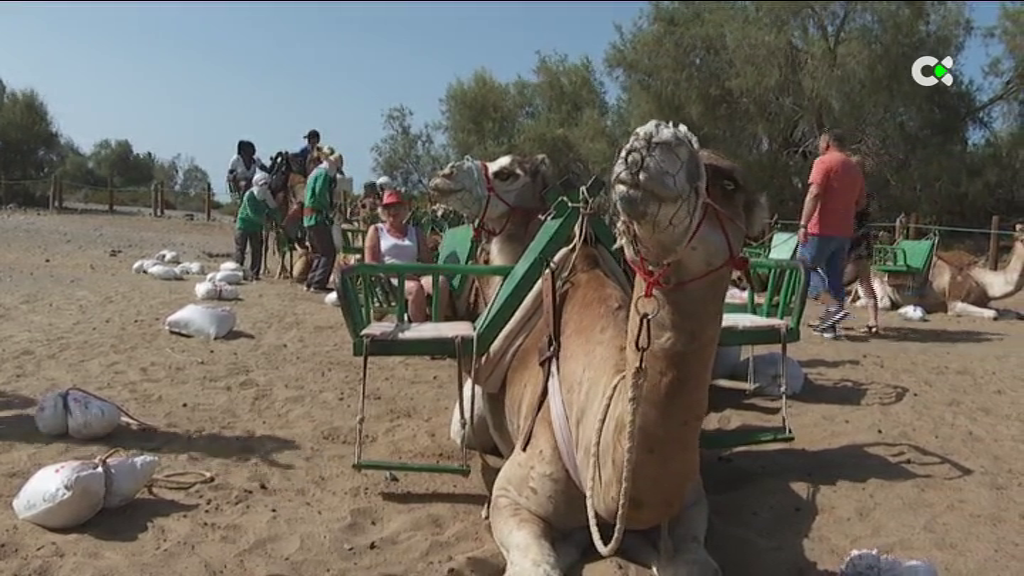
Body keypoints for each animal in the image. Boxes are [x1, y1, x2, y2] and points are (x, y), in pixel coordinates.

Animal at [428, 118, 765, 569]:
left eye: (729, 183)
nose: (650, 145)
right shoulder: (513, 496)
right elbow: (537, 559)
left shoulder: (692, 499)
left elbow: (694, 561)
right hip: (466, 422)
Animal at [851, 222, 1024, 317]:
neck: (983, 280)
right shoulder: (954, 302)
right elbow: (993, 314)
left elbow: (1013, 313)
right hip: (874, 282)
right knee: (882, 303)